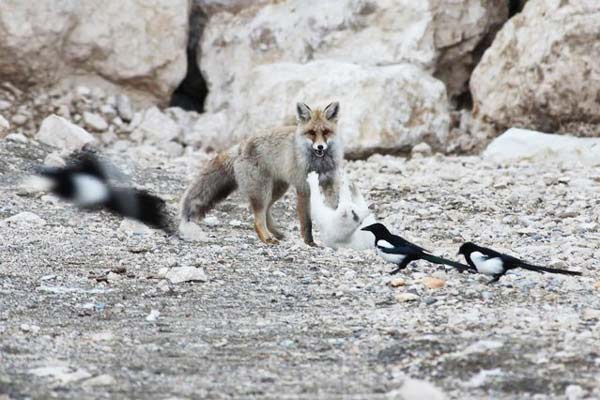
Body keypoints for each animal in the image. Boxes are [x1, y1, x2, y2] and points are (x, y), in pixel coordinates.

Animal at [179, 101, 342, 245]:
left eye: (326, 132)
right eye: (311, 133)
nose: (320, 147)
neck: (319, 164)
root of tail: (242, 145)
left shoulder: (330, 186)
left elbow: (332, 214)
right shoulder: (304, 188)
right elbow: (307, 222)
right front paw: (310, 243)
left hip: (277, 190)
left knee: (267, 212)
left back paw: (276, 234)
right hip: (262, 191)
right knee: (258, 219)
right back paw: (268, 238)